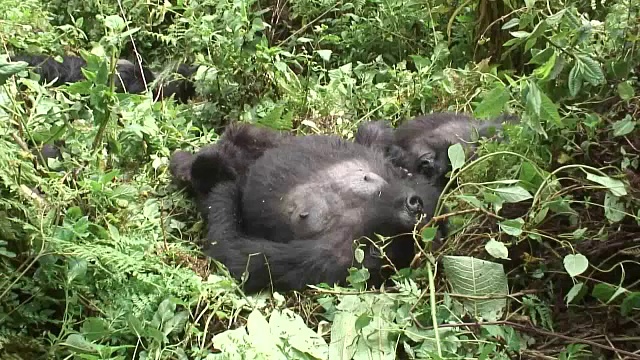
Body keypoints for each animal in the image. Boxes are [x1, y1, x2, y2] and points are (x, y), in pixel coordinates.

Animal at [171, 123, 450, 292]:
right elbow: (375, 136)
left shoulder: (329, 259)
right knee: (248, 136)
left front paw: (220, 181)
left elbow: (235, 255)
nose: (413, 205)